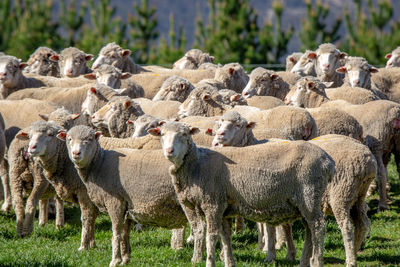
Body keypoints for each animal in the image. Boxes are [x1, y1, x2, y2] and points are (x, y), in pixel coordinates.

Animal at [8, 107, 79, 237]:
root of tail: (25, 146)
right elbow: (58, 199)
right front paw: (59, 224)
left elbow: (44, 199)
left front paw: (42, 222)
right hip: (39, 176)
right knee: (31, 202)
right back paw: (27, 230)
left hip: (14, 172)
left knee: (18, 202)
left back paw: (19, 230)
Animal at [17, 121, 99, 251]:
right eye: (29, 136)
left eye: (50, 134)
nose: (31, 147)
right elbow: (92, 217)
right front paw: (92, 244)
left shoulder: (83, 192)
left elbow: (87, 217)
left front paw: (84, 246)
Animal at [148, 122, 334, 267]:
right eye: (162, 134)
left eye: (184, 134)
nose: (169, 151)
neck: (197, 165)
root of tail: (328, 161)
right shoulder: (223, 207)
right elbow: (225, 237)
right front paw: (229, 262)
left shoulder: (212, 204)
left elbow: (211, 237)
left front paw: (209, 262)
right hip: (305, 201)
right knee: (309, 229)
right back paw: (304, 261)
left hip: (309, 194)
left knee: (318, 227)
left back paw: (317, 261)